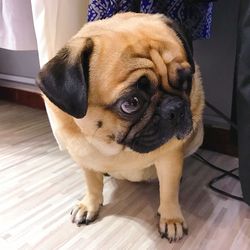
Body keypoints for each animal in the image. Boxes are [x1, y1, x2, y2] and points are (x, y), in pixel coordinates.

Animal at [37, 12, 205, 242]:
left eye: (186, 81)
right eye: (131, 103)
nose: (176, 108)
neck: (116, 148)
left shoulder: (169, 158)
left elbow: (168, 191)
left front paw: (171, 218)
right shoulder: (85, 159)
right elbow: (92, 184)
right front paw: (90, 204)